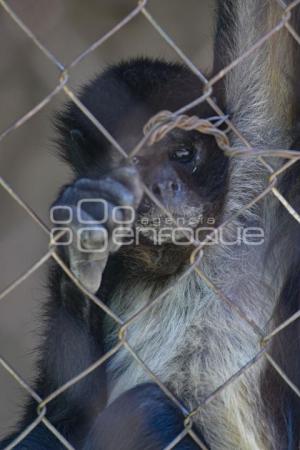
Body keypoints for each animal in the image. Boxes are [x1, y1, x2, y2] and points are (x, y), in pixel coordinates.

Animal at [1, 0, 300, 450]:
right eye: (135, 161)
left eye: (182, 153)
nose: (163, 187)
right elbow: (60, 419)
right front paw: (79, 245)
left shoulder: (255, 174)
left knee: (147, 412)